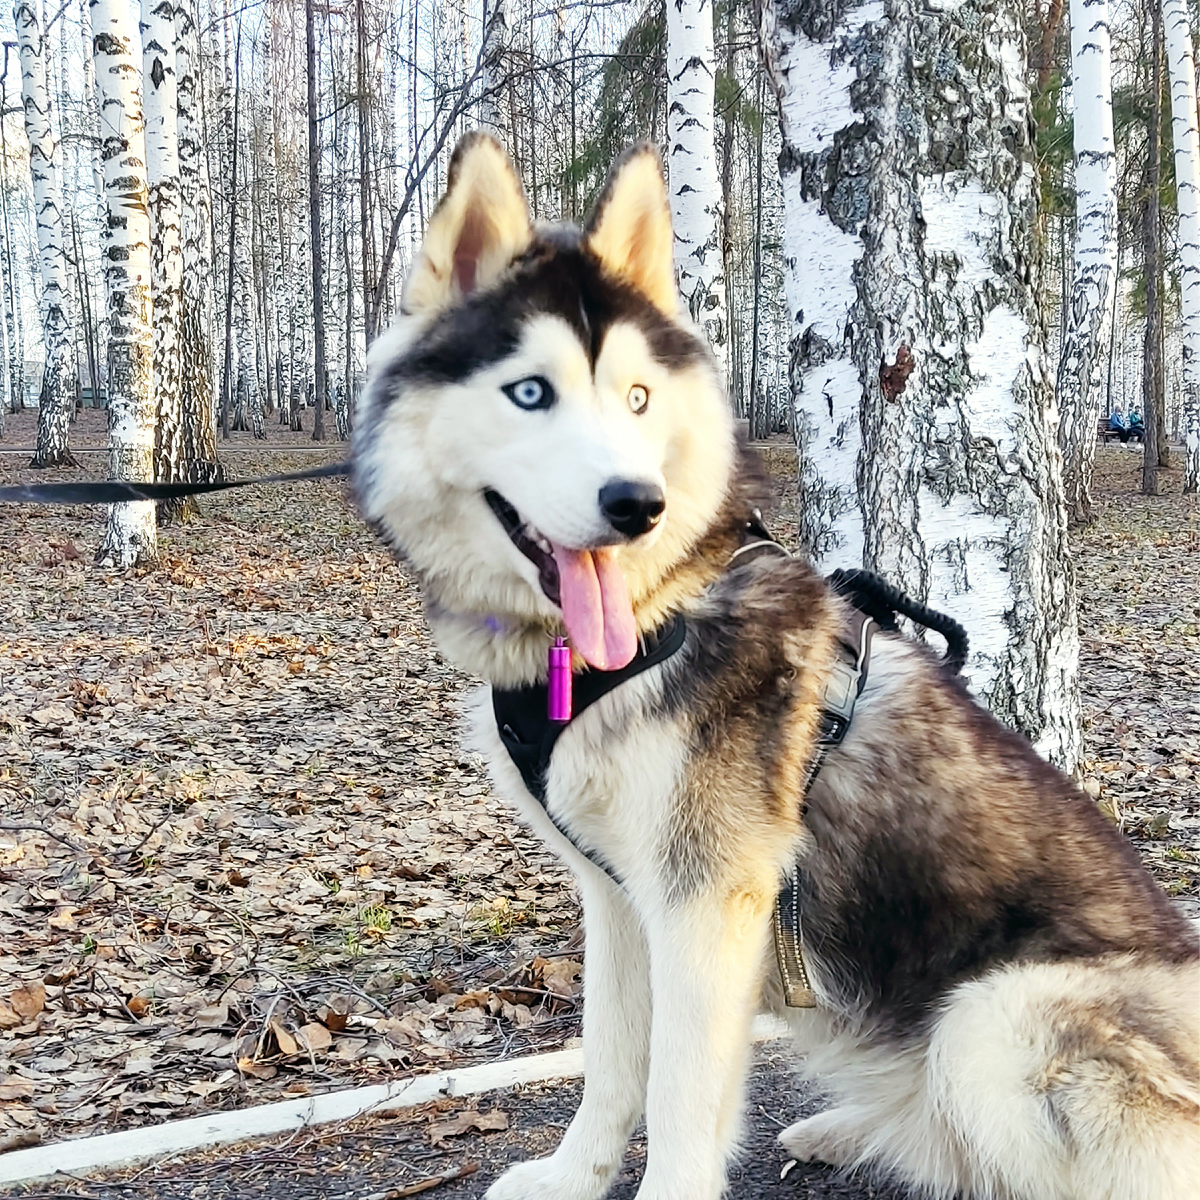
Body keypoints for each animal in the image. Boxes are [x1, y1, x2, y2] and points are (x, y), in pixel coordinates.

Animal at [352, 134, 1200, 1200]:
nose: (638, 504)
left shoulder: (706, 906)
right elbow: (610, 1060)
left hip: (989, 1021)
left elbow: (679, 1093)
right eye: (530, 393)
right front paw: (573, 1175)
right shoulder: (617, 899)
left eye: (637, 398)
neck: (648, 621)